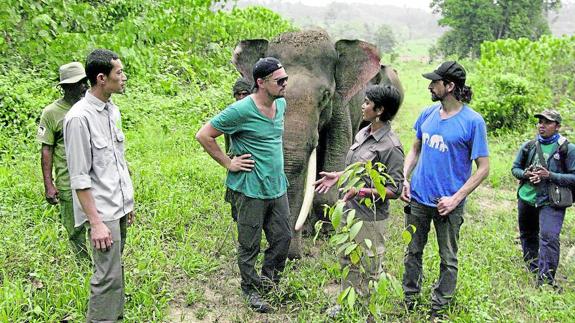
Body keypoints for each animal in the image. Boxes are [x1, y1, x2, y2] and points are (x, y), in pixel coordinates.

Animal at [232, 29, 402, 260]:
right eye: (273, 96)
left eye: (325, 96)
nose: (294, 256)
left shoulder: (339, 106)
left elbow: (337, 155)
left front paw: (327, 231)